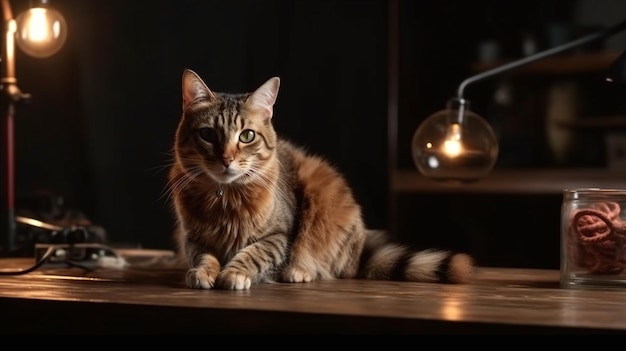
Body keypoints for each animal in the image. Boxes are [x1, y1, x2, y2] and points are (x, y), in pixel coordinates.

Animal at [168, 69, 470, 292]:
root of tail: (361, 243)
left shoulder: (280, 235)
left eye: (247, 136)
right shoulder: (191, 236)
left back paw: (299, 271)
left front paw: (234, 273)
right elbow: (203, 255)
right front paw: (203, 271)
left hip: (321, 193)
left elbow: (254, 254)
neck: (225, 198)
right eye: (208, 135)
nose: (227, 159)